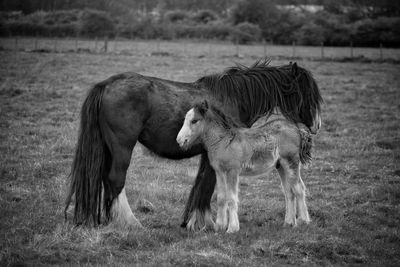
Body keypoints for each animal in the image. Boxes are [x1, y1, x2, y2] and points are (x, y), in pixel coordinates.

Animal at [177, 101, 312, 234]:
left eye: (194, 120)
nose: (179, 140)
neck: (224, 142)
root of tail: (297, 129)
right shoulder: (219, 172)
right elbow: (221, 198)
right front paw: (219, 226)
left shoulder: (232, 171)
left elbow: (231, 198)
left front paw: (232, 228)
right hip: (281, 166)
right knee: (289, 192)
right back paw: (288, 223)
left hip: (291, 162)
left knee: (298, 188)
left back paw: (303, 221)